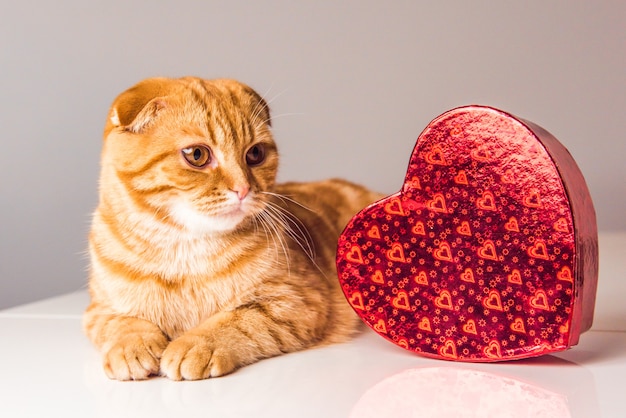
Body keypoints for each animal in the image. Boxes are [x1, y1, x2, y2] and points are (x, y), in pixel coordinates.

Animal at [83, 76, 380, 380]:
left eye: (255, 154)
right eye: (197, 155)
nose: (243, 189)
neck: (182, 250)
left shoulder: (297, 301)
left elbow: (237, 321)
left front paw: (195, 345)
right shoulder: (97, 309)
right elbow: (120, 323)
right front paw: (130, 346)